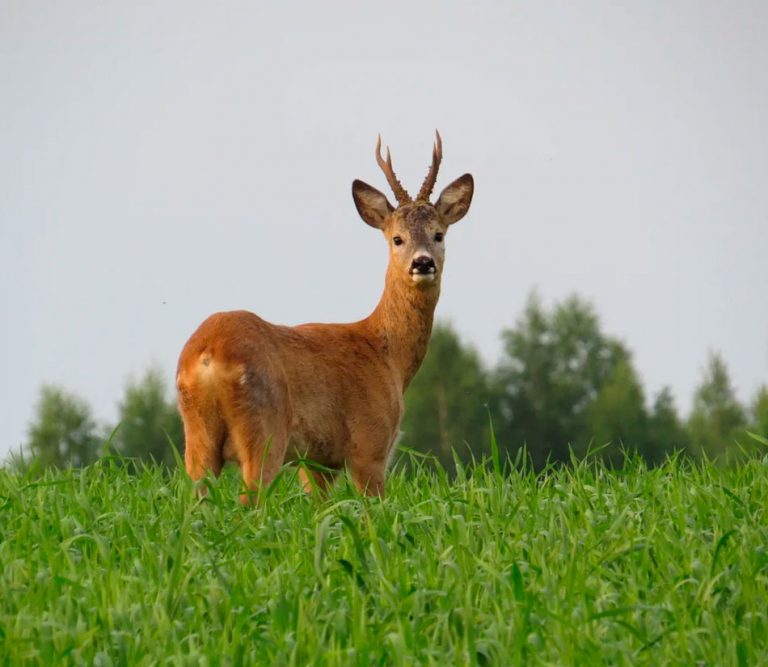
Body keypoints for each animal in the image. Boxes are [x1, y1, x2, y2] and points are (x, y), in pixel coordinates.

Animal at [176, 133, 472, 504]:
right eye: (397, 238)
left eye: (438, 234)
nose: (422, 263)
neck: (387, 353)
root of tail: (207, 354)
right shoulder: (370, 443)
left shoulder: (316, 460)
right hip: (264, 428)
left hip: (197, 437)